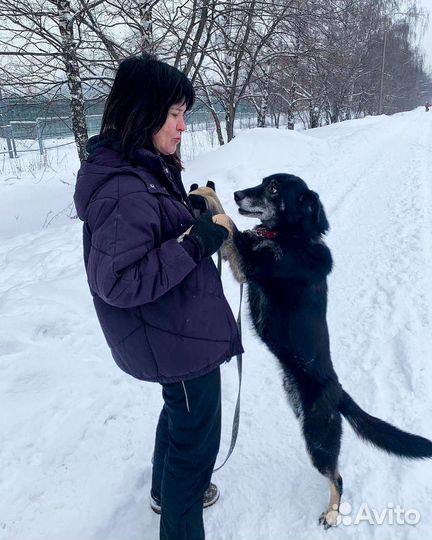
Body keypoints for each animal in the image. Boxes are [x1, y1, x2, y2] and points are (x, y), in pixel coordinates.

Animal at [230, 173, 432, 528]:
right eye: (263, 181)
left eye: (273, 188)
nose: (237, 194)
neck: (293, 238)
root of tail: (338, 391)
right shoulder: (246, 266)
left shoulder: (252, 266)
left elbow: (229, 228)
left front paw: (201, 207)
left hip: (318, 437)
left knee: (337, 477)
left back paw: (333, 513)